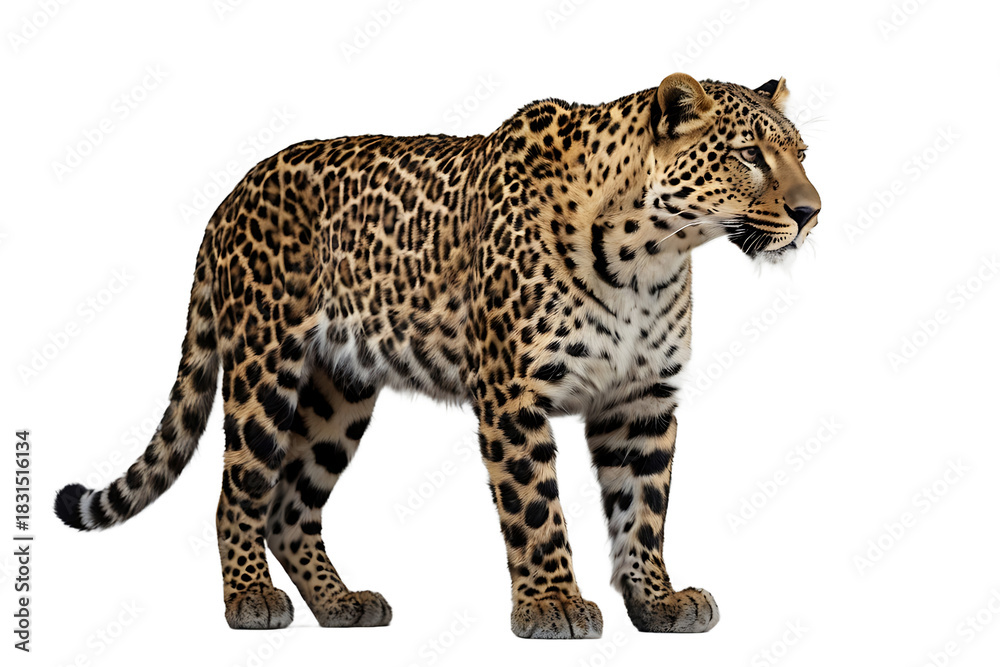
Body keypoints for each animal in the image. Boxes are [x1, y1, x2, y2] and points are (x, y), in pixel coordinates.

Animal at [55, 73, 821, 639]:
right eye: (749, 155)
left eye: (802, 155)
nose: (811, 211)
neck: (651, 257)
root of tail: (227, 199)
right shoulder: (513, 390)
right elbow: (536, 505)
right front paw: (552, 605)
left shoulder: (641, 398)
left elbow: (645, 507)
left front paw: (657, 600)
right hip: (265, 367)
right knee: (238, 492)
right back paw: (250, 600)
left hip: (339, 392)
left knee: (290, 506)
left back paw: (341, 604)